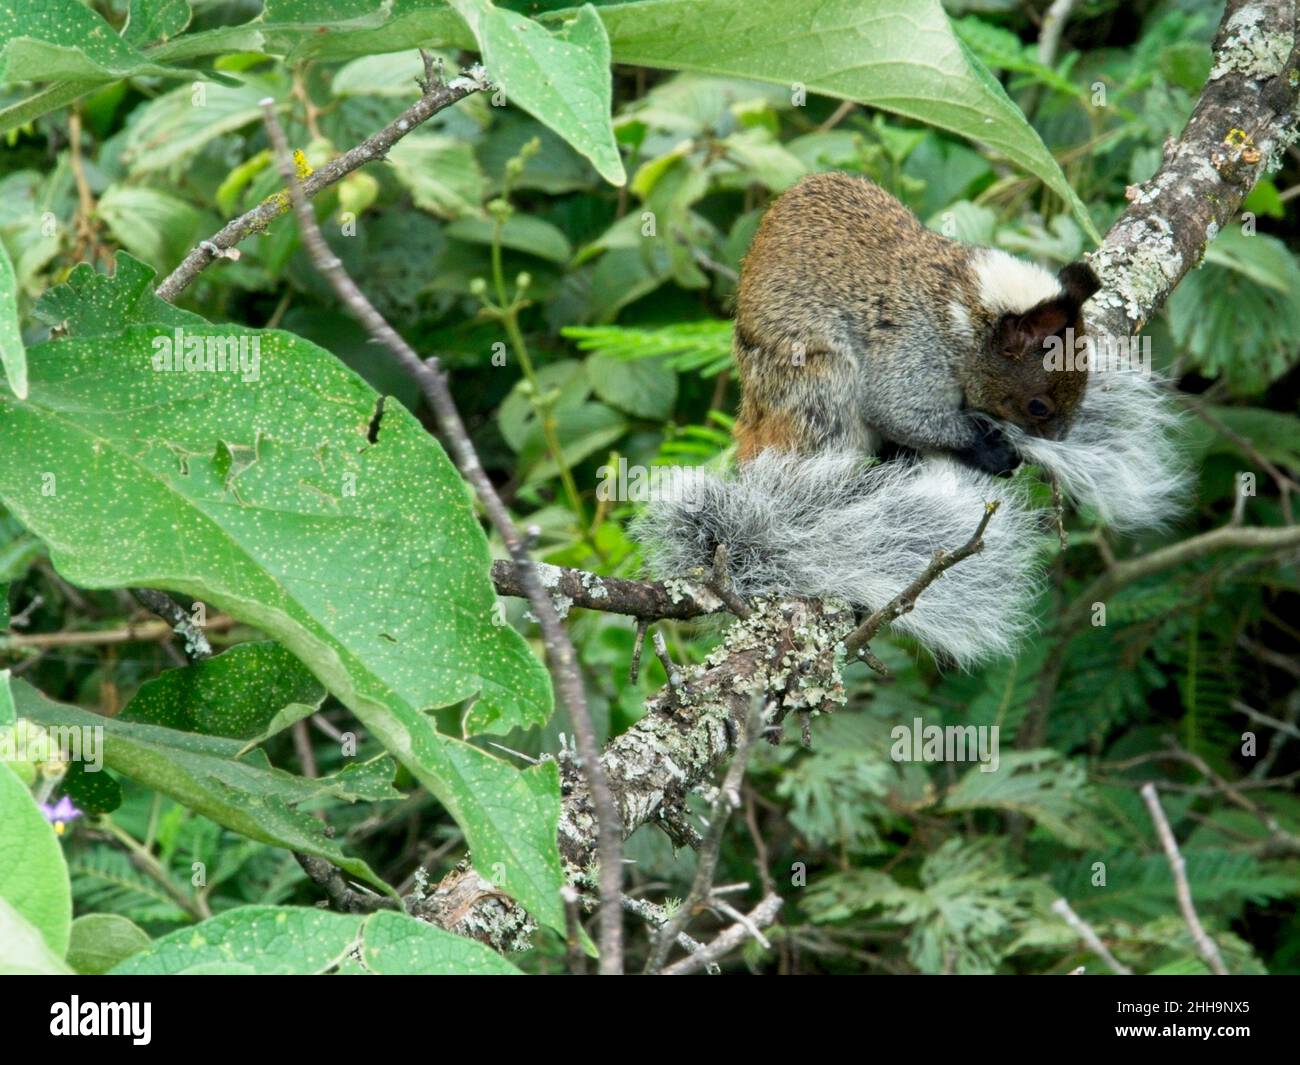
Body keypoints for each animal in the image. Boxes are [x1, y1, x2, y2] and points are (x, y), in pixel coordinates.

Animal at [733, 172, 1097, 473]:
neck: (968, 310)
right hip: (820, 386)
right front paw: (991, 450)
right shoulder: (913, 346)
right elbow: (897, 411)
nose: (1055, 444)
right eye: (1038, 407)